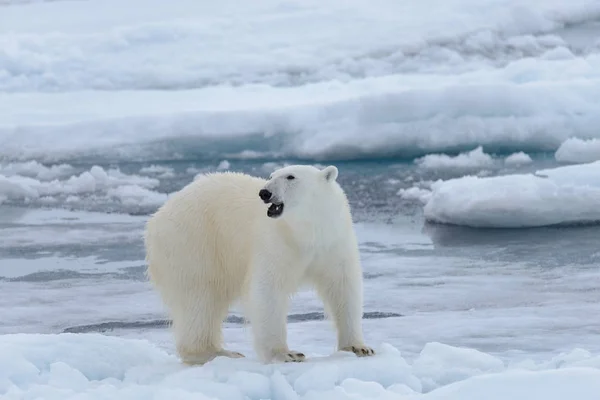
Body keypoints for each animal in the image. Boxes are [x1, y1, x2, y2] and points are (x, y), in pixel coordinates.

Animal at [144, 164, 372, 364]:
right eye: (271, 175)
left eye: (290, 176)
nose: (265, 192)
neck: (306, 232)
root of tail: (157, 216)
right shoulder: (276, 242)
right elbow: (268, 290)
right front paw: (286, 354)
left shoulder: (333, 242)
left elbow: (343, 286)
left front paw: (358, 347)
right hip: (193, 242)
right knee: (199, 298)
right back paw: (214, 353)